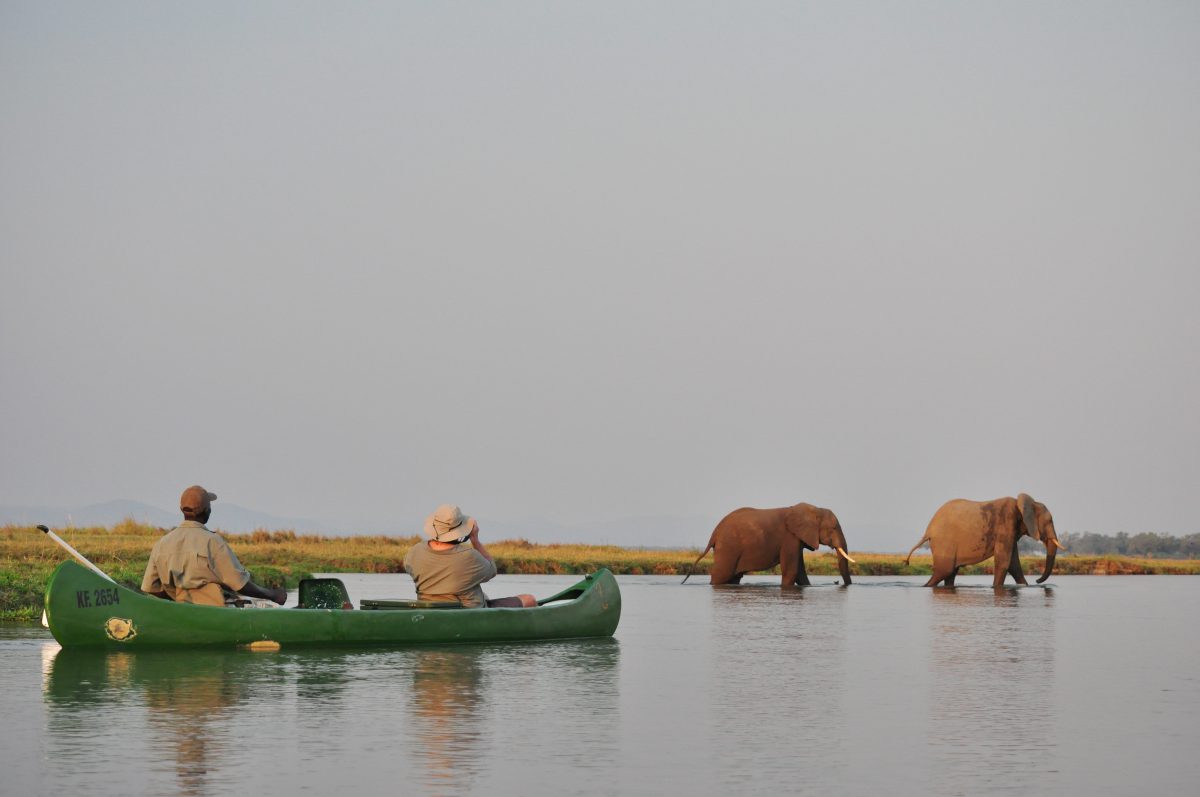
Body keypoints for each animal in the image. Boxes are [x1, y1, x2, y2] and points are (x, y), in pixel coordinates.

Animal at [686, 504, 854, 585]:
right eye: (833, 528)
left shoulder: (797, 539)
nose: (841, 584)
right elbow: (791, 570)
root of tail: (714, 533)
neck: (813, 510)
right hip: (728, 548)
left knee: (734, 577)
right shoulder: (789, 538)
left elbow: (800, 572)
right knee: (721, 575)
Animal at [902, 492, 1065, 585]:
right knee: (944, 571)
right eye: (1049, 521)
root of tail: (928, 530)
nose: (1037, 581)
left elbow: (1014, 565)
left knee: (950, 573)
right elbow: (1004, 562)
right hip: (944, 543)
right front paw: (995, 588)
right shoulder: (1006, 525)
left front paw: (1025, 586)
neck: (1025, 503)